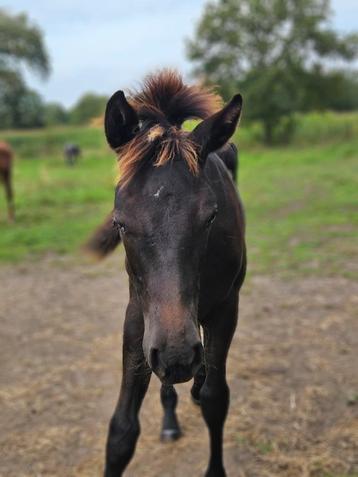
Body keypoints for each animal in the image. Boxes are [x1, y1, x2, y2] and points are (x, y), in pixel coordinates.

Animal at [86, 70, 246, 476]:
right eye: (120, 223)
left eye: (211, 216)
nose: (177, 355)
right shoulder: (139, 318)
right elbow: (122, 429)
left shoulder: (225, 309)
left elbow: (216, 399)